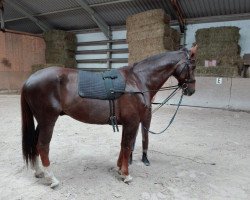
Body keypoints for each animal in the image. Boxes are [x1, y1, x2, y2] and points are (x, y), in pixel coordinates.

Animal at [21, 47, 196, 188]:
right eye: (193, 66)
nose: (191, 90)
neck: (137, 80)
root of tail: (29, 80)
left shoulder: (129, 123)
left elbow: (123, 146)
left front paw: (119, 169)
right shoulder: (132, 122)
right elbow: (127, 146)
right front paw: (126, 174)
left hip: (41, 122)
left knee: (35, 144)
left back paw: (39, 172)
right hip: (48, 121)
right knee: (42, 146)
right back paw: (51, 179)